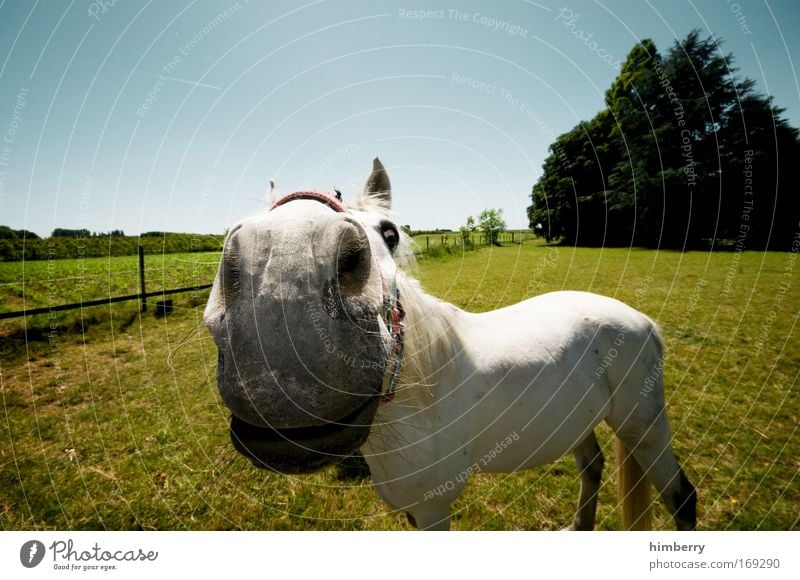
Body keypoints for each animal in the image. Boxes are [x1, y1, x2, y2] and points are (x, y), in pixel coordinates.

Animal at [205, 159, 692, 532]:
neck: (420, 400)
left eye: (390, 233)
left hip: (643, 426)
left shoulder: (433, 509)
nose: (283, 304)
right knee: (591, 468)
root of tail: (642, 320)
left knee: (682, 499)